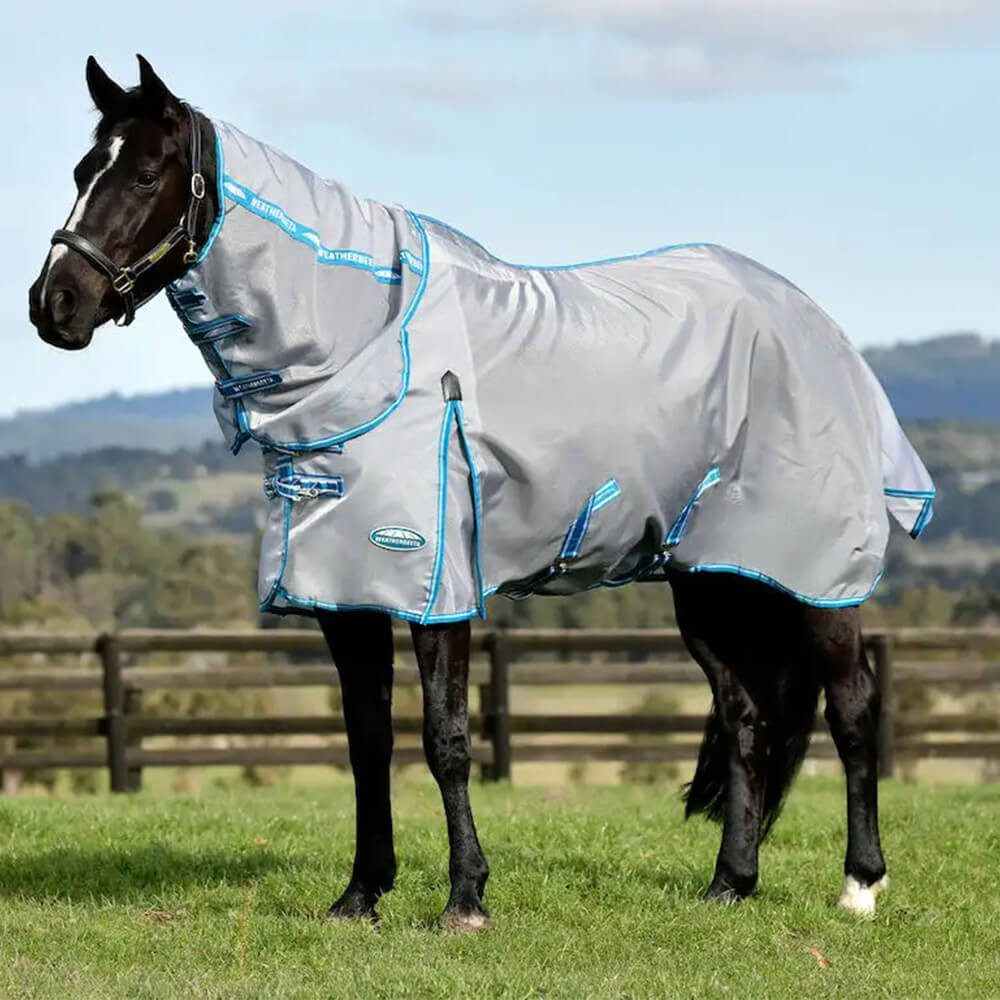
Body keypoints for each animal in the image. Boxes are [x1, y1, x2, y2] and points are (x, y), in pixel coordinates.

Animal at [28, 55, 930, 927]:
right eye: (80, 169)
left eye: (145, 174)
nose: (53, 304)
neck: (367, 343)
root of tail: (815, 324)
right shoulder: (345, 595)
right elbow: (366, 742)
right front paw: (360, 897)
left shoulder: (438, 589)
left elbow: (446, 739)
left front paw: (465, 899)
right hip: (712, 583)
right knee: (747, 717)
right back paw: (729, 885)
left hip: (816, 580)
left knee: (852, 707)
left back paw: (860, 886)